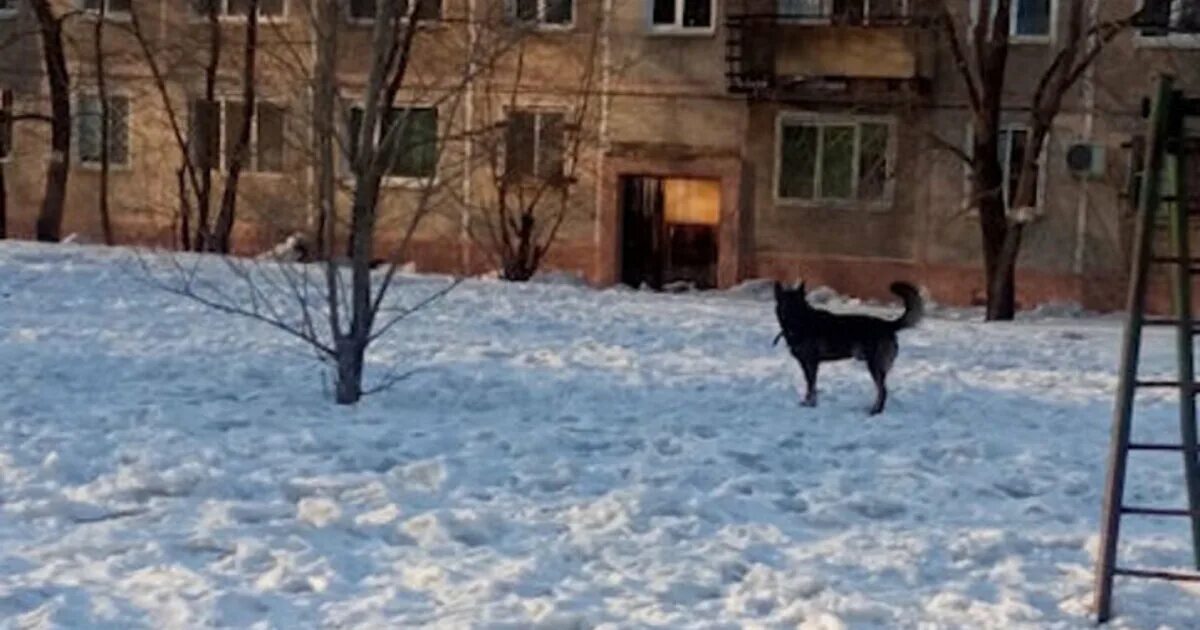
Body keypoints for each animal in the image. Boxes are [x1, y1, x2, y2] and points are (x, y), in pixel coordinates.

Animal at [772, 279, 921, 412]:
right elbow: (810, 385)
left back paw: (875, 411)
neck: (802, 322)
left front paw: (811, 404)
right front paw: (808, 402)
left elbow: (811, 386)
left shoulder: (811, 363)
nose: (788, 315)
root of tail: (887, 325)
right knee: (883, 390)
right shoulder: (805, 364)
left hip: (874, 366)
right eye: (785, 303)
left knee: (882, 391)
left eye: (796, 304)